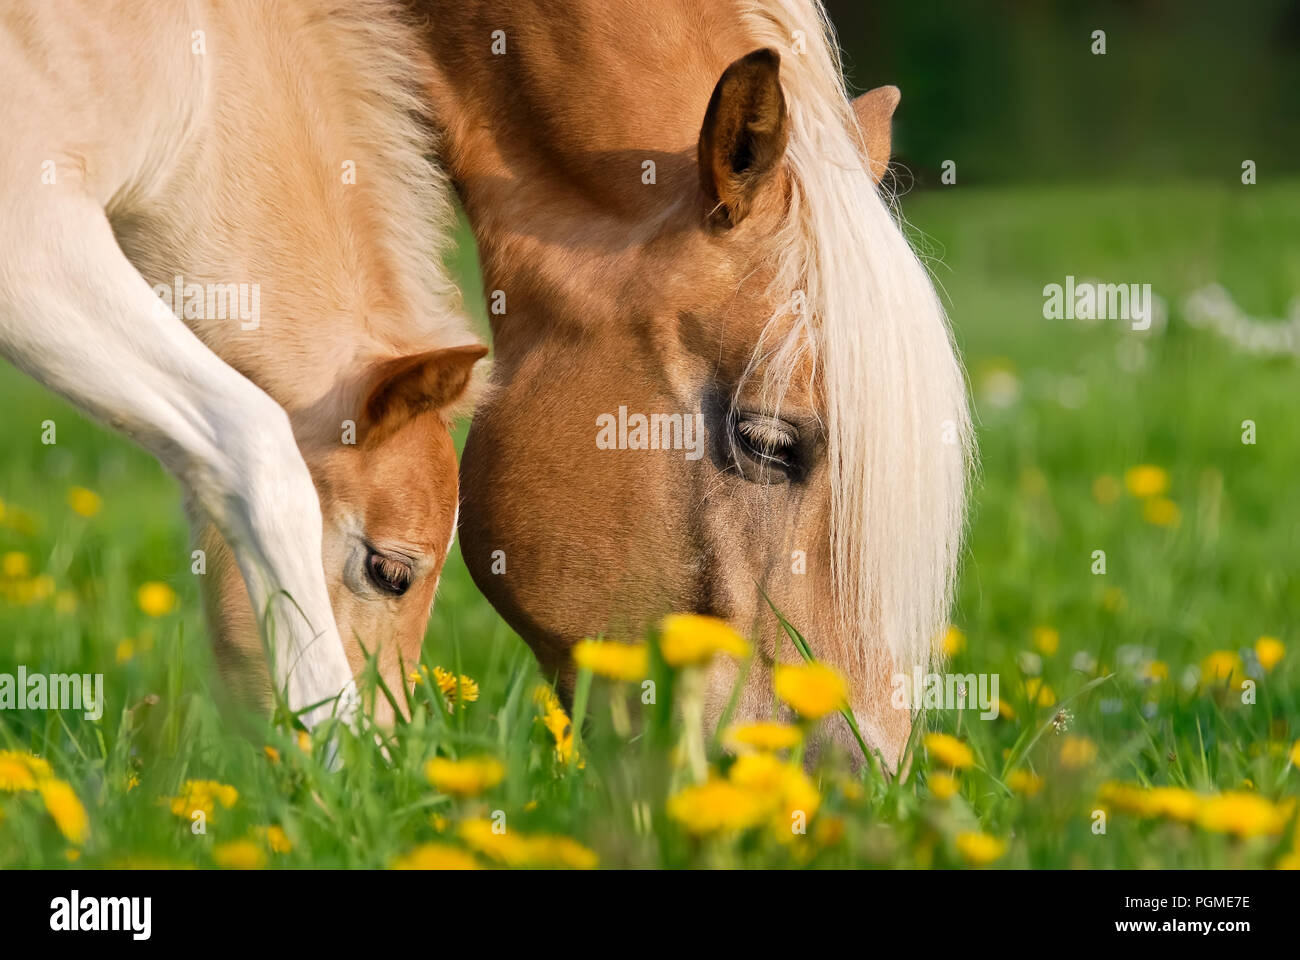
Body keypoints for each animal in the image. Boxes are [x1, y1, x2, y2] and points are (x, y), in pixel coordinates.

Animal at [0, 0, 486, 723]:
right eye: (390, 573)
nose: (391, 738)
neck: (200, 72)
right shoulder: (31, 235)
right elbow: (253, 447)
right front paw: (334, 747)